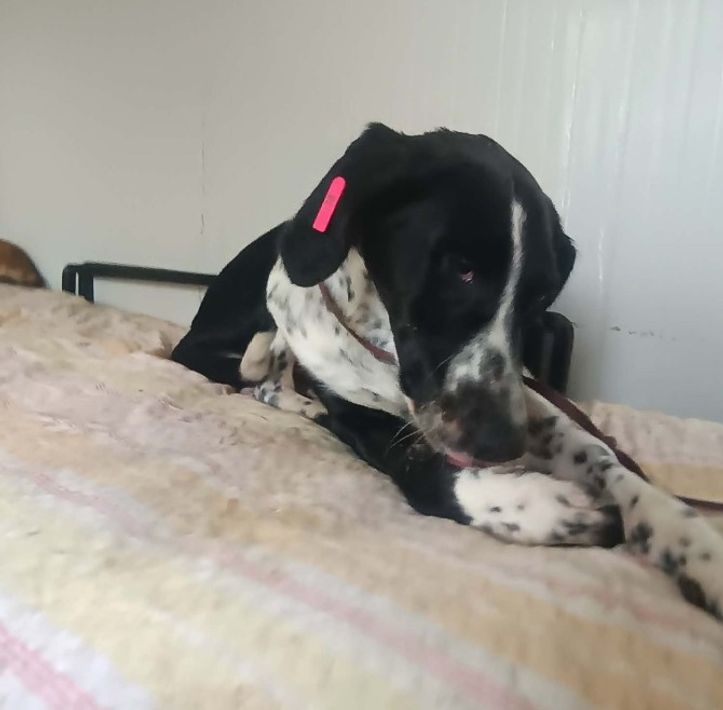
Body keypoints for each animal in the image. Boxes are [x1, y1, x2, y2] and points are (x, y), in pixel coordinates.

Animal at [174, 124, 723, 618]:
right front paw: (533, 506)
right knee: (258, 373)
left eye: (541, 295)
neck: (386, 353)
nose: (501, 445)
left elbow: (605, 458)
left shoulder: (530, 401)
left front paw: (694, 544)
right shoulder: (361, 414)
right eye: (462, 269)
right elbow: (428, 470)